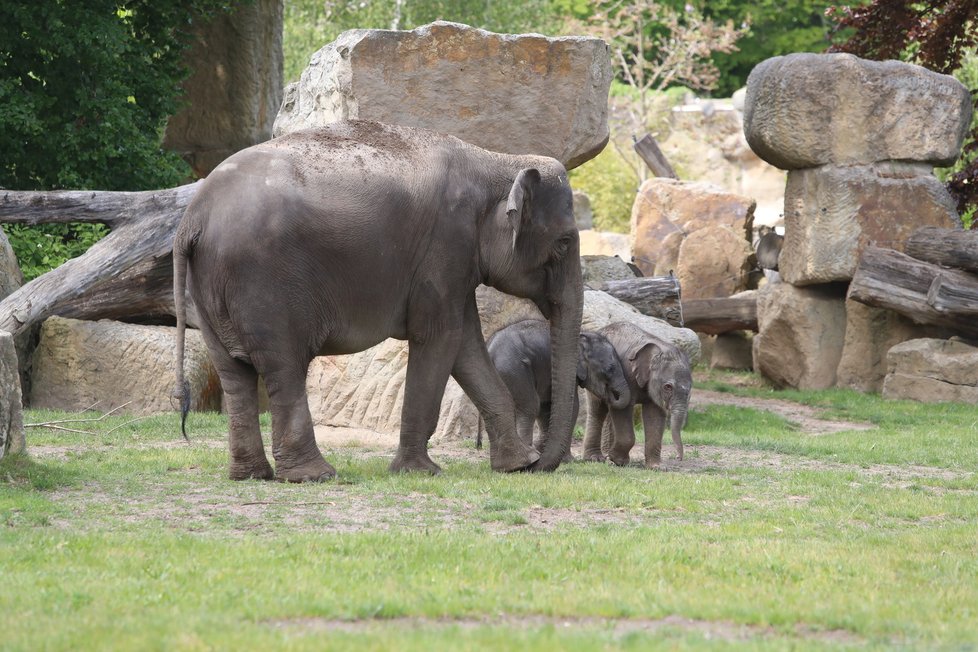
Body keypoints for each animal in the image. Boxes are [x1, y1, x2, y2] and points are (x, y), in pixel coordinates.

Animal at [173, 119, 584, 482]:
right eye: (564, 243)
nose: (540, 464)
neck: (497, 161)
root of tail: (193, 219)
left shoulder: (453, 264)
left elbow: (466, 345)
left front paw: (515, 466)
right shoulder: (445, 247)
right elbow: (441, 338)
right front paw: (421, 472)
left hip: (209, 289)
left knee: (234, 373)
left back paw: (251, 475)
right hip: (261, 284)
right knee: (283, 366)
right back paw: (315, 476)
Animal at [476, 318, 628, 456]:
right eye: (610, 369)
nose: (610, 395)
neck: (583, 333)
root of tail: (489, 348)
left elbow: (546, 406)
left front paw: (544, 449)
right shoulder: (567, 369)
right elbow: (572, 406)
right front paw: (566, 459)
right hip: (514, 369)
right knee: (530, 406)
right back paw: (528, 454)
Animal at [584, 320, 692, 468]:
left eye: (690, 390)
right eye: (668, 387)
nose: (678, 458)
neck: (658, 348)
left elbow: (655, 414)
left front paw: (657, 467)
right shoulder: (626, 373)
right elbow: (624, 409)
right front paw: (619, 461)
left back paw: (606, 456)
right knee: (597, 410)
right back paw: (596, 458)